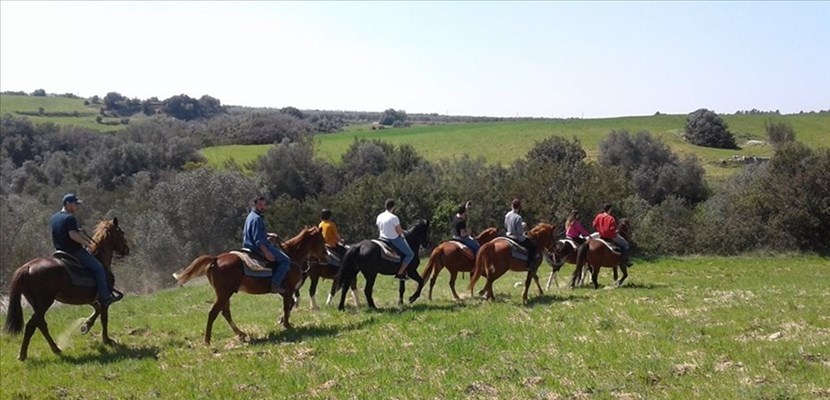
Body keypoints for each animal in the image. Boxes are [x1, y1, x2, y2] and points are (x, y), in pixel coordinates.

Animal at [2, 219, 129, 362]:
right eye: (121, 233)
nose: (127, 249)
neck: (100, 260)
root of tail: (27, 267)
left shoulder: (91, 299)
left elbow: (97, 310)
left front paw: (86, 326)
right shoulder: (104, 299)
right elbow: (104, 318)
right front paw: (107, 340)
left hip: (37, 304)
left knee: (41, 324)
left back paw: (55, 349)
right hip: (44, 303)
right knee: (32, 325)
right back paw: (23, 355)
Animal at [174, 227, 326, 346]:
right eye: (321, 240)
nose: (326, 256)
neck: (292, 256)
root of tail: (215, 259)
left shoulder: (285, 292)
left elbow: (290, 304)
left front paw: (282, 320)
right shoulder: (288, 291)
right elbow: (287, 306)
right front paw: (287, 325)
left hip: (225, 294)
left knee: (225, 312)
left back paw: (241, 333)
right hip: (224, 294)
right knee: (213, 313)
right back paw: (207, 340)